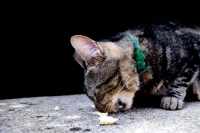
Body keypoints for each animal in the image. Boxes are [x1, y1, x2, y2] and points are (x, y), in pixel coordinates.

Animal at [70, 17, 200, 112]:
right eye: (91, 97)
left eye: (94, 94)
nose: (101, 111)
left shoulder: (194, 47)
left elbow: (181, 78)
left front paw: (172, 97)